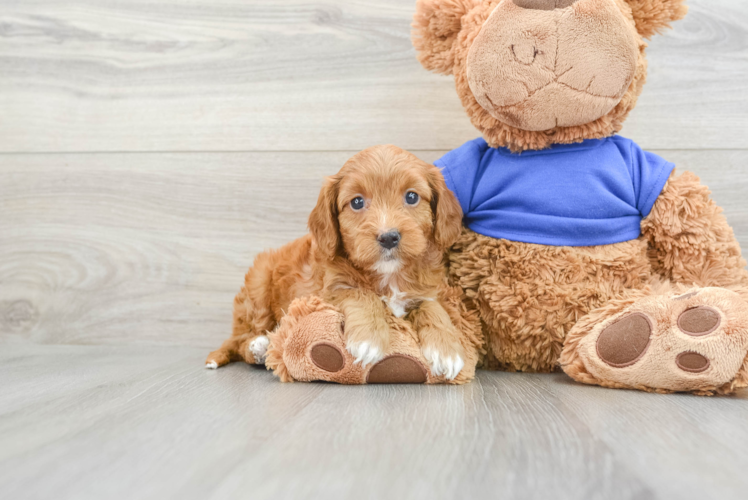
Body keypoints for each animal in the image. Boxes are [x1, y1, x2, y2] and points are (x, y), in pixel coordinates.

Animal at [207, 145, 464, 378]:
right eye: (357, 202)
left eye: (411, 196)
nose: (389, 237)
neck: (388, 273)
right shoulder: (326, 291)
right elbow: (362, 294)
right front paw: (369, 338)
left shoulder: (424, 291)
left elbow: (433, 307)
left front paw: (446, 350)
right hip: (258, 286)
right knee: (241, 341)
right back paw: (259, 347)